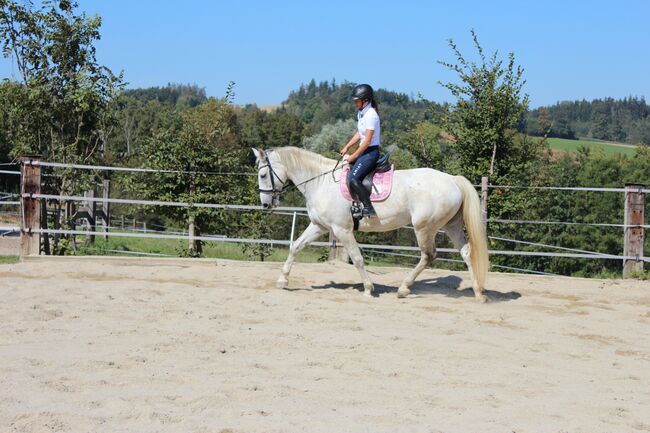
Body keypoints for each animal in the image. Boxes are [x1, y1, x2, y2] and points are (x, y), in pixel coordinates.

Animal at [252, 145, 486, 300]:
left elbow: (357, 259)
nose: (265, 204)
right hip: (450, 226)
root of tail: (452, 179)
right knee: (466, 252)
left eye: (263, 175)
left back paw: (403, 288)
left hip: (424, 227)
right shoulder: (320, 226)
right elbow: (296, 246)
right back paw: (478, 293)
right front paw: (282, 281)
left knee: (428, 255)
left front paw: (367, 288)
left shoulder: (342, 230)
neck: (321, 182)